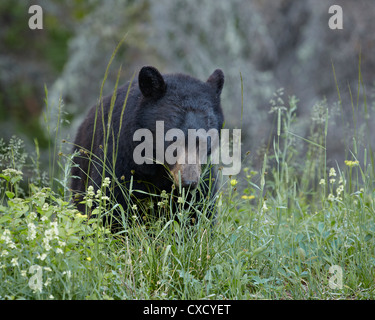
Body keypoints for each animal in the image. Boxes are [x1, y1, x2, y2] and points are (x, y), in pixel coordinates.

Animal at [71, 65, 223, 230]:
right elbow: (110, 202)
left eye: (204, 142)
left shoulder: (204, 175)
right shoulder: (119, 157)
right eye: (173, 140)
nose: (189, 182)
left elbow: (199, 210)